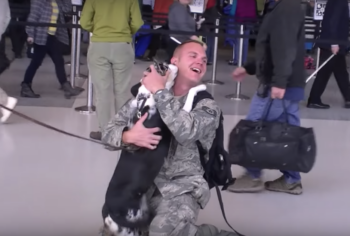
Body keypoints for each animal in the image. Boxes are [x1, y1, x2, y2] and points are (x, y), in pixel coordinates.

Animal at [101, 61, 206, 235]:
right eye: (165, 66)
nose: (174, 64)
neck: (147, 99)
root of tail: (109, 212)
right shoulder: (179, 120)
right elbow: (189, 97)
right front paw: (200, 86)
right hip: (131, 227)